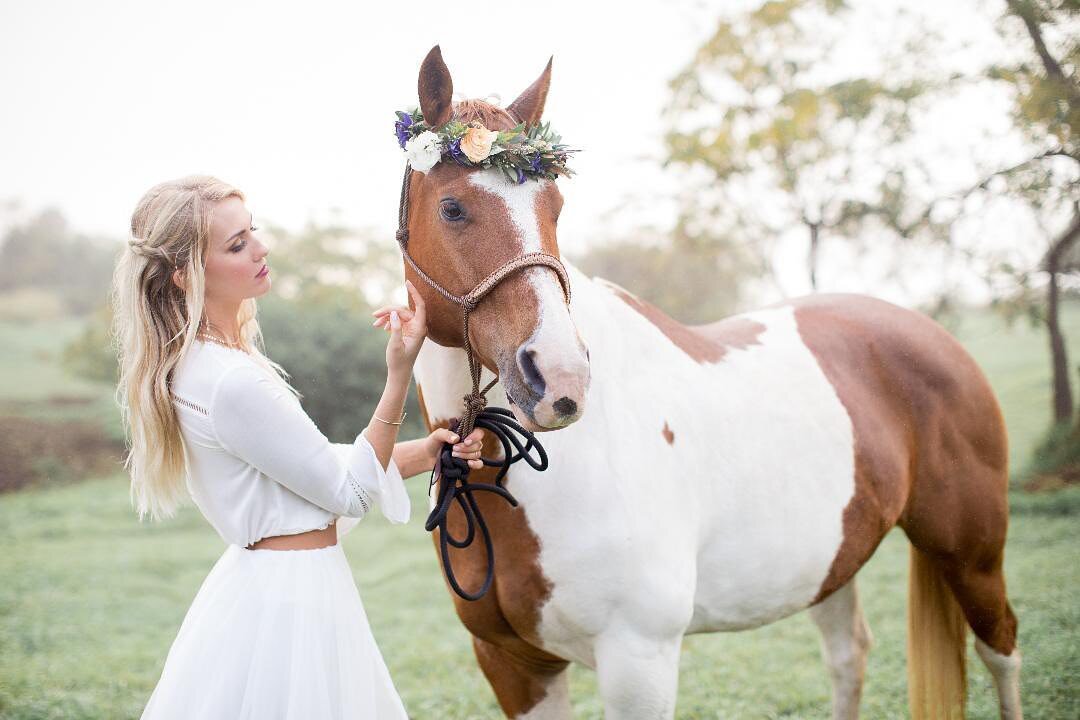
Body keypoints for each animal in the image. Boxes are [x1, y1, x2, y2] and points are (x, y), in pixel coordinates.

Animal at [403, 46, 1019, 720]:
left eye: (555, 210)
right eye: (452, 208)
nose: (560, 377)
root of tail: (933, 335)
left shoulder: (639, 662)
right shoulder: (516, 667)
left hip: (972, 555)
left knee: (1000, 649)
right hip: (834, 559)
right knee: (848, 655)